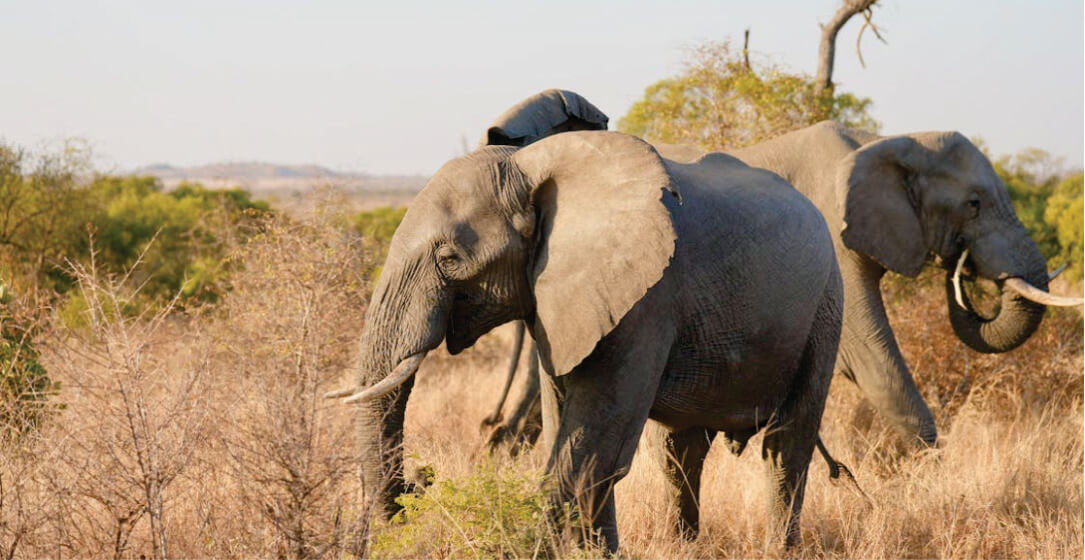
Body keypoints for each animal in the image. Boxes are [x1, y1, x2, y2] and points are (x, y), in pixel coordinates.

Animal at [327, 130, 844, 551]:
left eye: (449, 258)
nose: (423, 479)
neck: (528, 167)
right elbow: (571, 430)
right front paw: (601, 553)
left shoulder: (647, 299)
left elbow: (594, 449)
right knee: (681, 453)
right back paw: (687, 545)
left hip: (826, 304)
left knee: (785, 446)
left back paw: (779, 549)